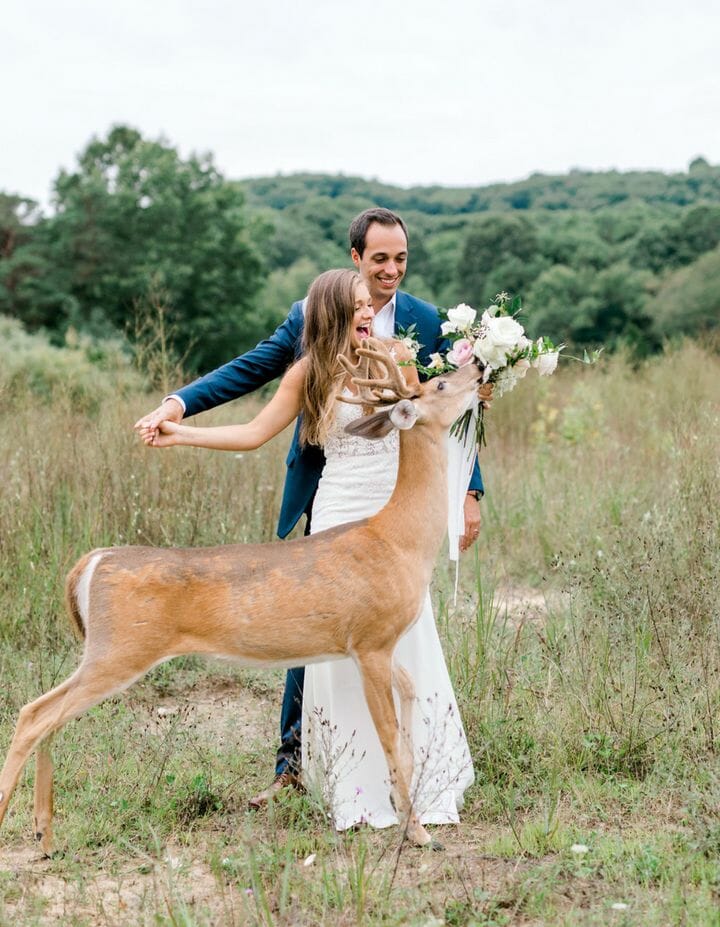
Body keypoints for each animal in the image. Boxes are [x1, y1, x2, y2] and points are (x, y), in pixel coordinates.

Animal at [1, 340, 484, 856]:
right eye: (440, 384)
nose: (478, 365)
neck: (398, 539)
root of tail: (93, 560)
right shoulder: (371, 639)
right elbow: (390, 738)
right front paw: (416, 832)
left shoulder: (372, 643)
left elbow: (411, 695)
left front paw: (411, 816)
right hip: (120, 647)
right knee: (34, 714)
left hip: (107, 648)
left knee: (48, 715)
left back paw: (45, 834)